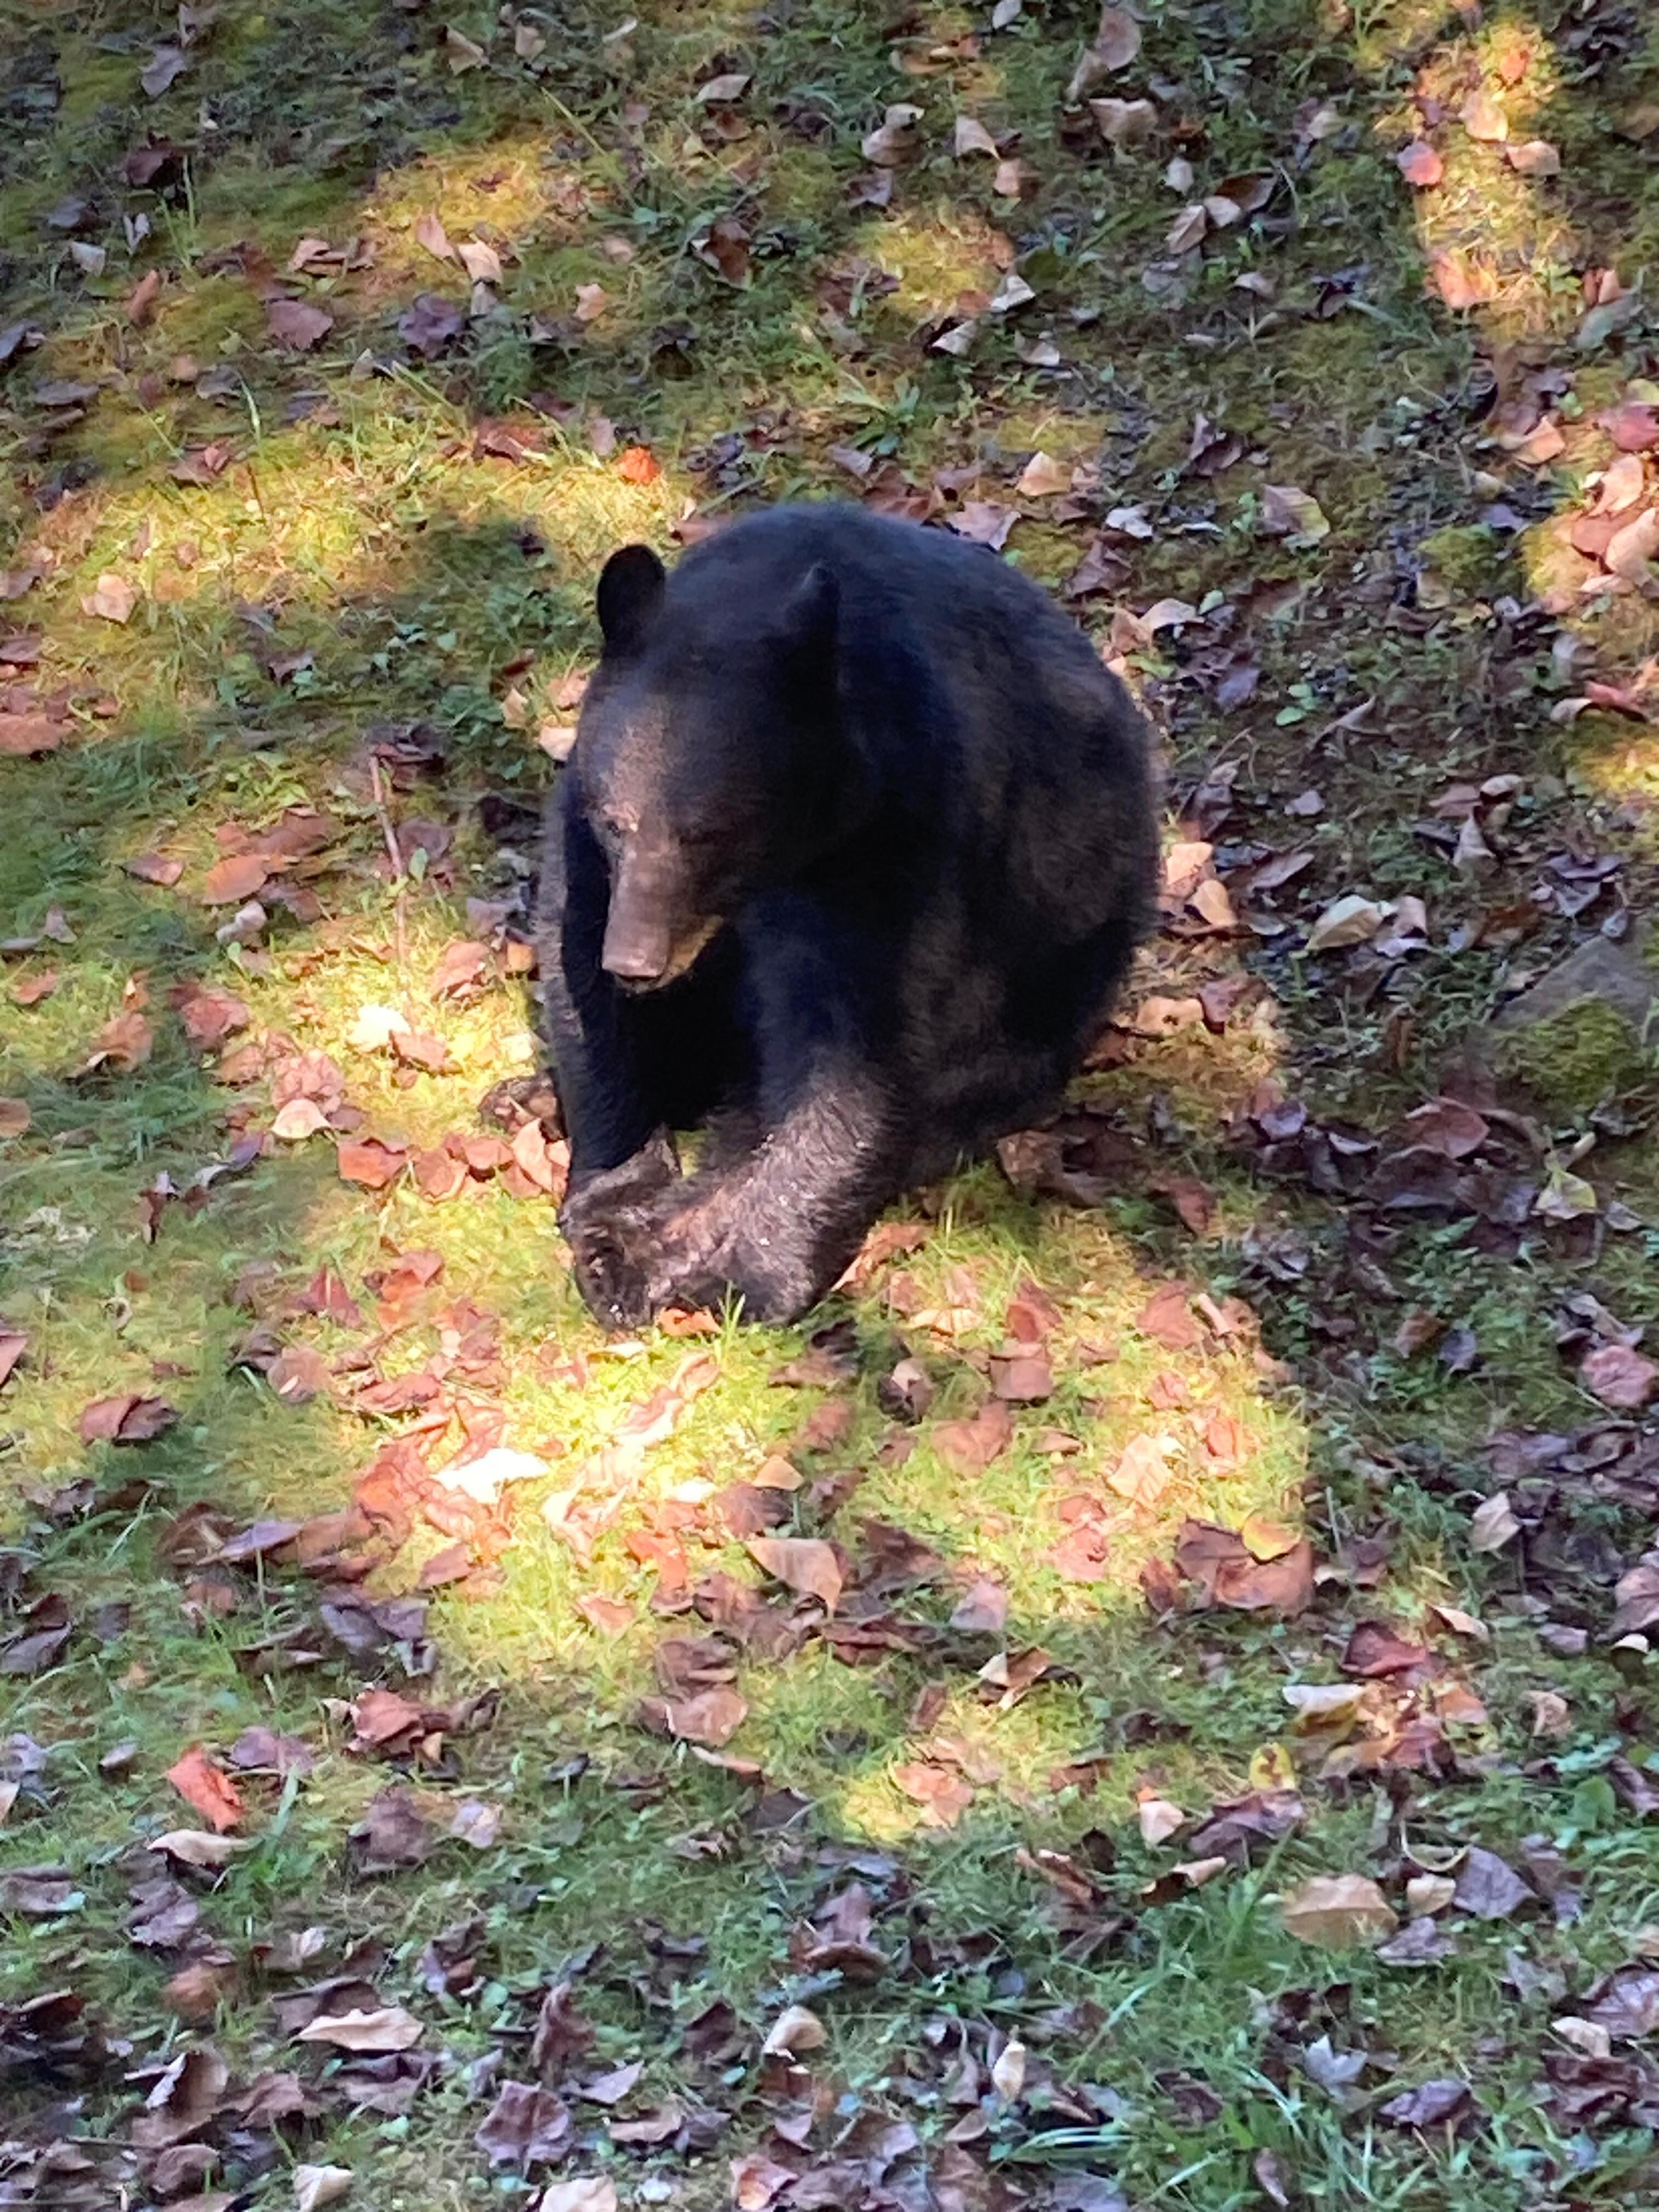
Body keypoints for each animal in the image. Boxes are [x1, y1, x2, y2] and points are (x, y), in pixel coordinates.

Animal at [536, 502, 1158, 1330]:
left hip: (1054, 972)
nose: (638, 963)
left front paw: (732, 1268)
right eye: (617, 822)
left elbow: (854, 1053)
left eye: (710, 832)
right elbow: (581, 978)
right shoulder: (588, 843)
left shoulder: (900, 842)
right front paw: (613, 1211)